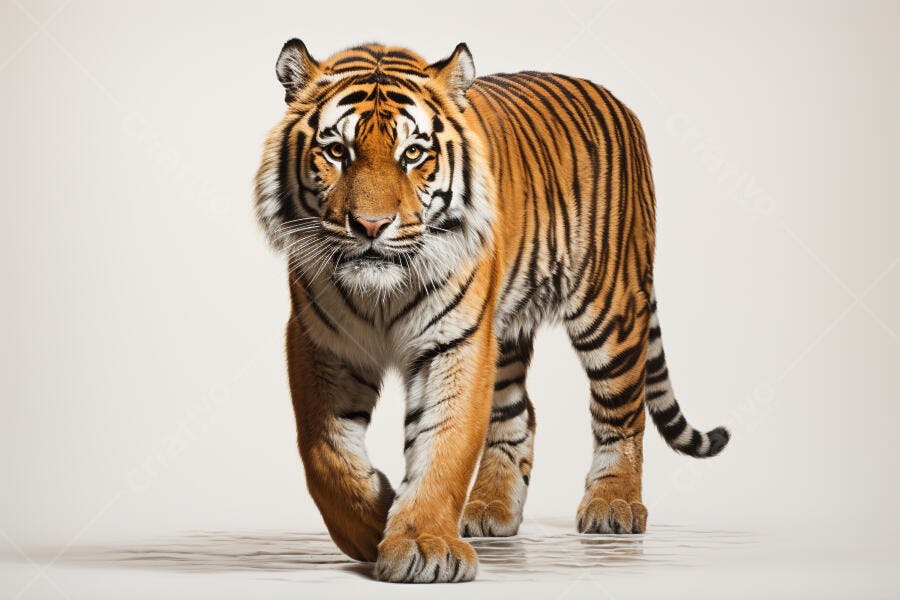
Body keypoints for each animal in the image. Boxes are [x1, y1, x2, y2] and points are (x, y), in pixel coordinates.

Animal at [254, 39, 730, 583]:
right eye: (337, 151)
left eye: (413, 153)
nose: (371, 226)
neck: (382, 293)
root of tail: (615, 99)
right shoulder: (321, 343)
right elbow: (325, 454)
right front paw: (373, 522)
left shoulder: (455, 343)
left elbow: (445, 442)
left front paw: (425, 547)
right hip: (505, 333)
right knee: (519, 414)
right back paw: (490, 509)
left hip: (609, 308)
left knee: (623, 413)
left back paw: (614, 505)